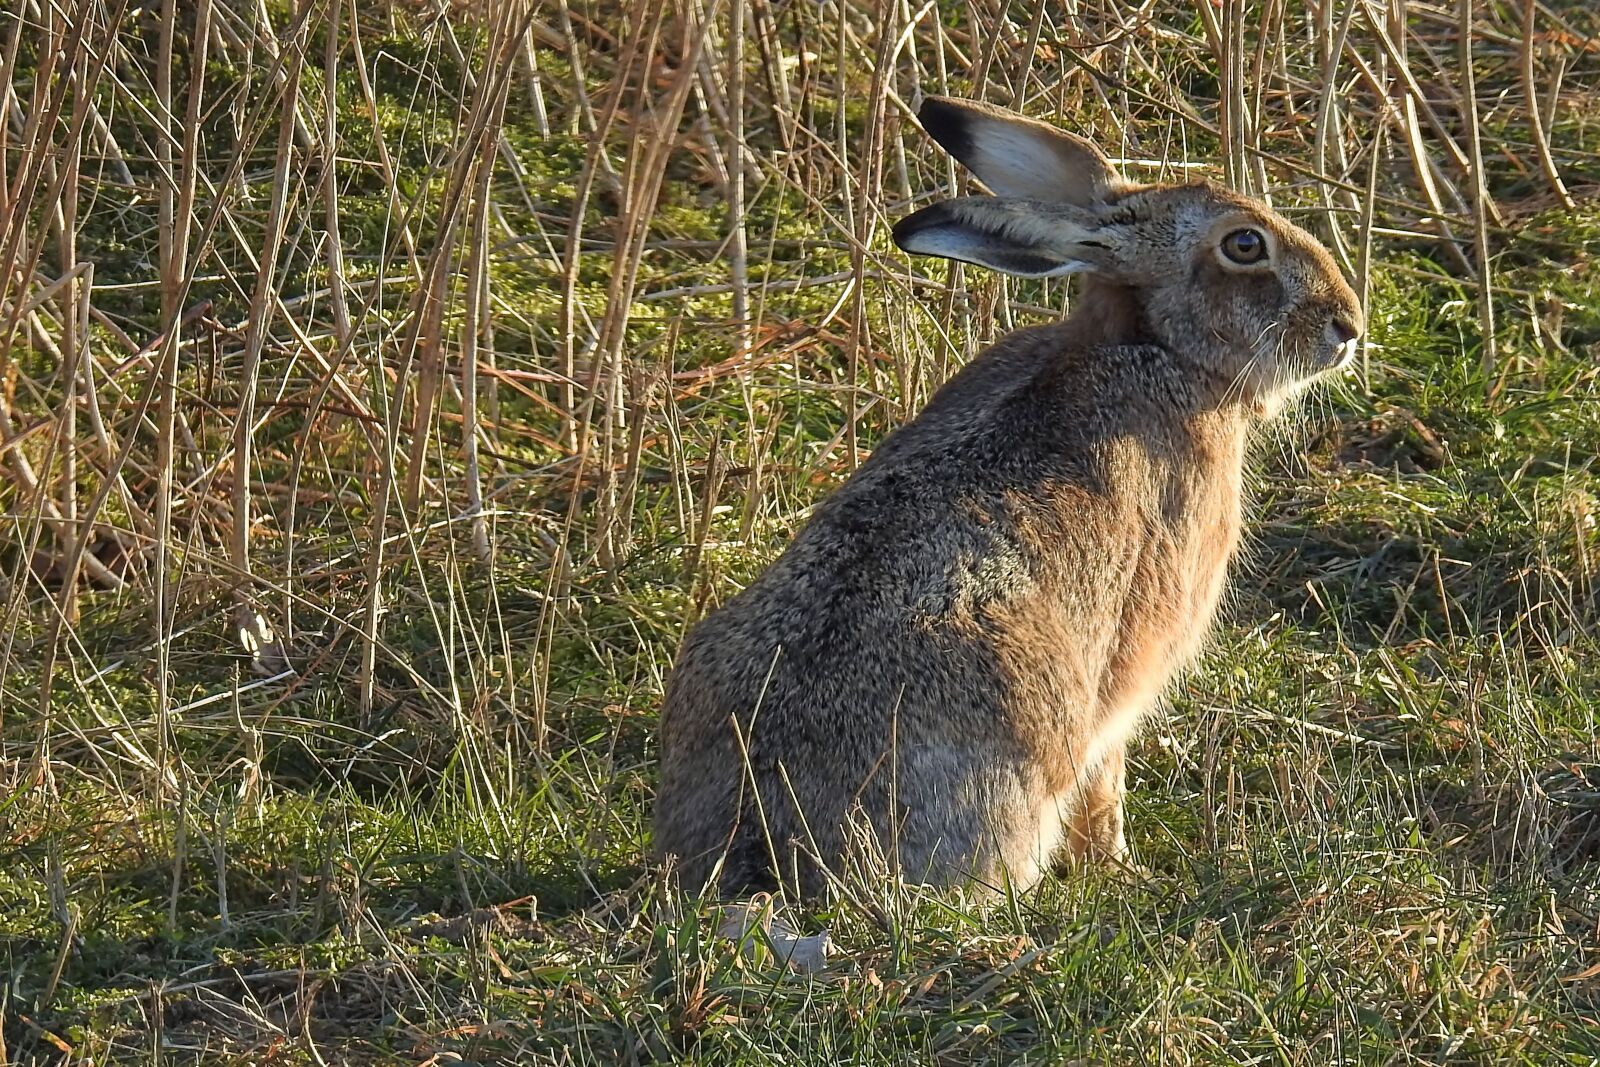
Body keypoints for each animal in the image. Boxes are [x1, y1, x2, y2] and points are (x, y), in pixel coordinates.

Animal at [653, 95, 1364, 900]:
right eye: (1244, 245)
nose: (1347, 325)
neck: (1156, 347)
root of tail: (761, 836)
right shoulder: (1130, 668)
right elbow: (1107, 772)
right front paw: (1117, 867)